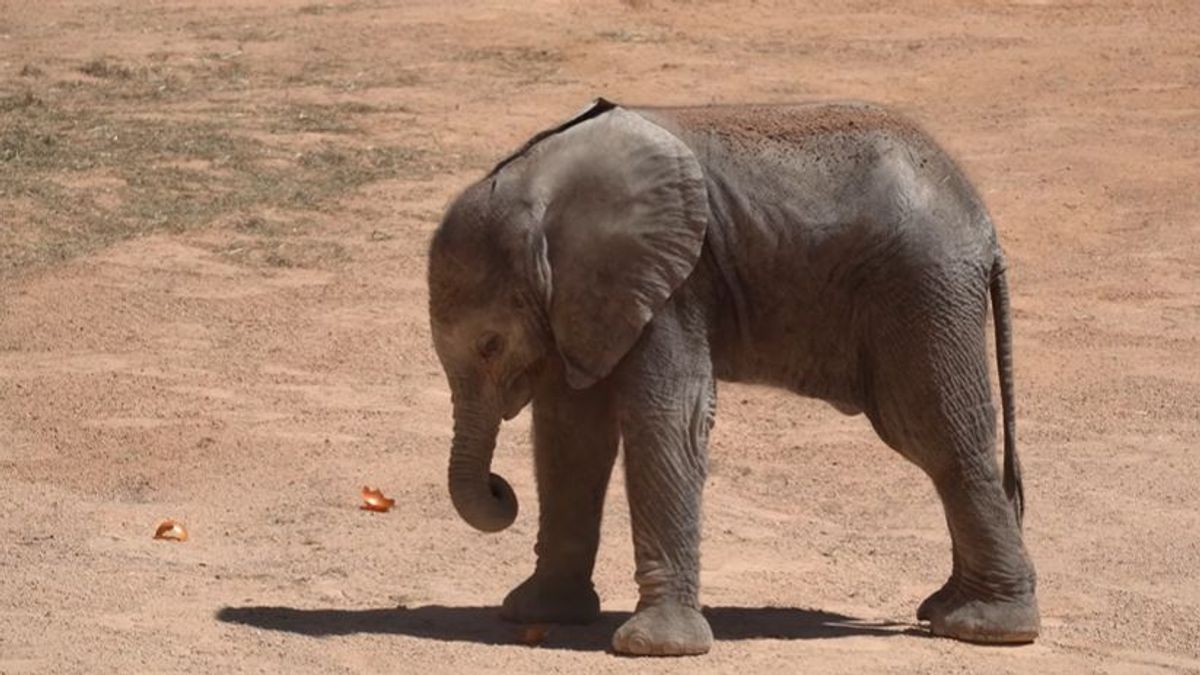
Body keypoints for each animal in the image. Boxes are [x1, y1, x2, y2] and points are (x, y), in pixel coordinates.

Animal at [427, 97, 1036, 653]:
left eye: (489, 345)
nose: (500, 490)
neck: (541, 181)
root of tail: (986, 227)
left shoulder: (671, 283)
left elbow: (668, 418)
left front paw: (655, 647)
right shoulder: (583, 300)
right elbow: (571, 432)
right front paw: (537, 613)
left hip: (922, 291)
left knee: (937, 435)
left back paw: (989, 628)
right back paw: (949, 609)